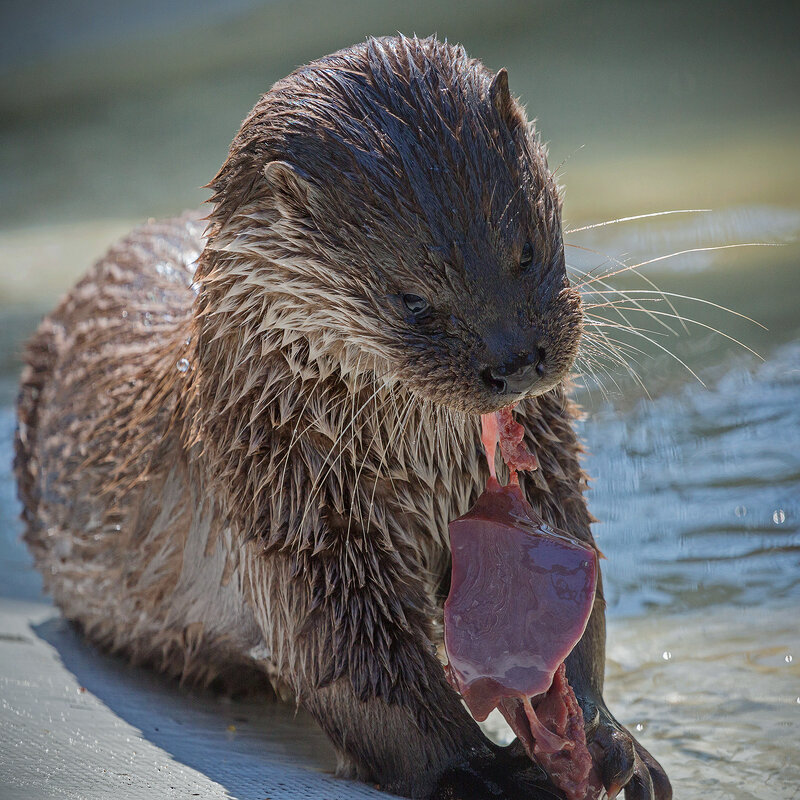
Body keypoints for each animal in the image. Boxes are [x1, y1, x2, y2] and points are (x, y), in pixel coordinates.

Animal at [15, 34, 672, 796]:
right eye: (411, 299)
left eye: (526, 250)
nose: (515, 359)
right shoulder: (294, 530)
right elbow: (361, 672)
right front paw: (484, 771)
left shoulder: (553, 470)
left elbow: (581, 606)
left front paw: (608, 737)